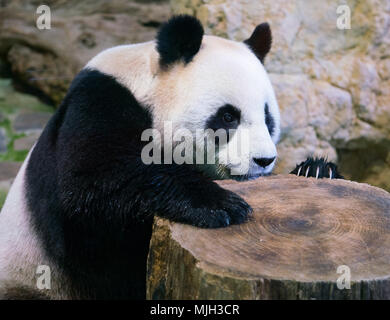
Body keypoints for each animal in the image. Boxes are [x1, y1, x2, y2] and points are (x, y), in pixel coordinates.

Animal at [0, 15, 342, 300]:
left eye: (268, 118)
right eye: (228, 116)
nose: (264, 160)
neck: (145, 85)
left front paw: (316, 170)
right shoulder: (98, 102)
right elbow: (89, 188)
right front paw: (220, 204)